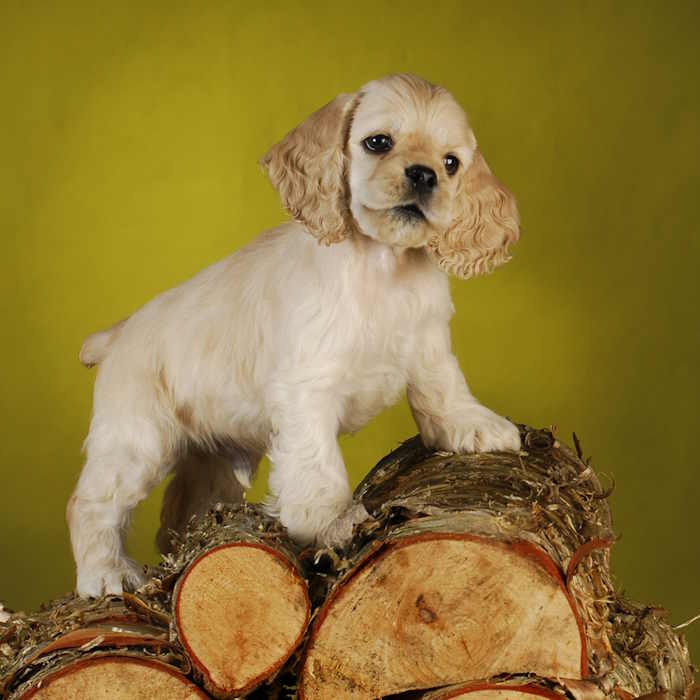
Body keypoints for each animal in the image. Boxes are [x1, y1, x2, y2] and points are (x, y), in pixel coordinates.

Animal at [68, 74, 524, 596]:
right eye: (378, 142)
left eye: (451, 163)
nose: (424, 175)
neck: (382, 266)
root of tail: (117, 334)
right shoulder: (308, 387)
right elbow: (318, 464)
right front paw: (332, 520)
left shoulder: (428, 343)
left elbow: (444, 389)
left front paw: (475, 426)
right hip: (136, 441)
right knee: (90, 504)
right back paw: (106, 574)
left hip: (210, 459)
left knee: (177, 511)